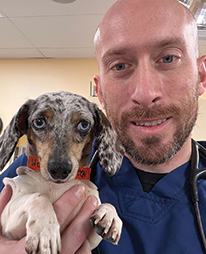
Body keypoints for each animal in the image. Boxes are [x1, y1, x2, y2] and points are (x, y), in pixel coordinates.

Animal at [0, 91, 124, 254]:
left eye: (84, 124)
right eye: (39, 122)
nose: (59, 169)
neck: (57, 186)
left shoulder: (89, 241)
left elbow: (108, 205)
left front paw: (110, 216)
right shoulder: (8, 220)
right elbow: (39, 197)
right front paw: (46, 230)